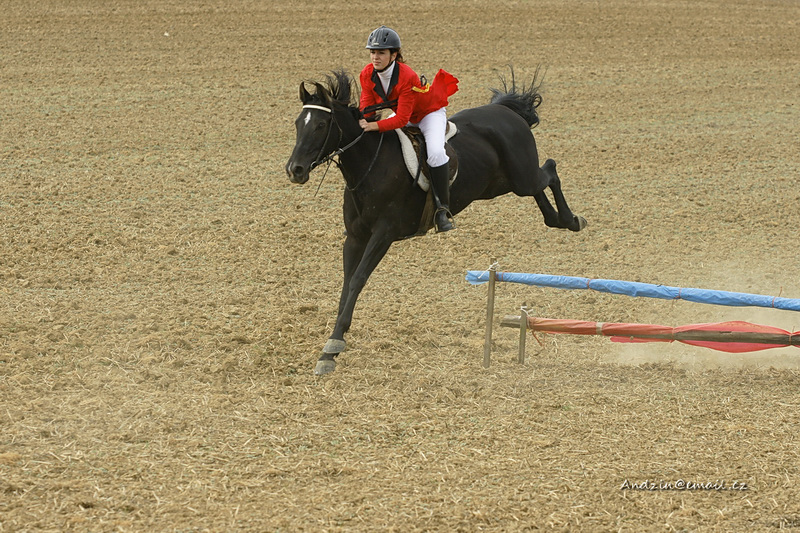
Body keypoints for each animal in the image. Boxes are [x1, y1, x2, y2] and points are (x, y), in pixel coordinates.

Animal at [285, 69, 586, 375]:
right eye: (298, 123)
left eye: (321, 125)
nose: (294, 170)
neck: (370, 165)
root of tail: (506, 111)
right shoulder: (355, 237)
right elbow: (347, 283)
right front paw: (332, 345)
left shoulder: (384, 234)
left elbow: (358, 279)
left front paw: (333, 346)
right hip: (501, 184)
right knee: (540, 185)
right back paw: (558, 219)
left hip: (521, 177)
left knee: (550, 170)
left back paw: (572, 220)